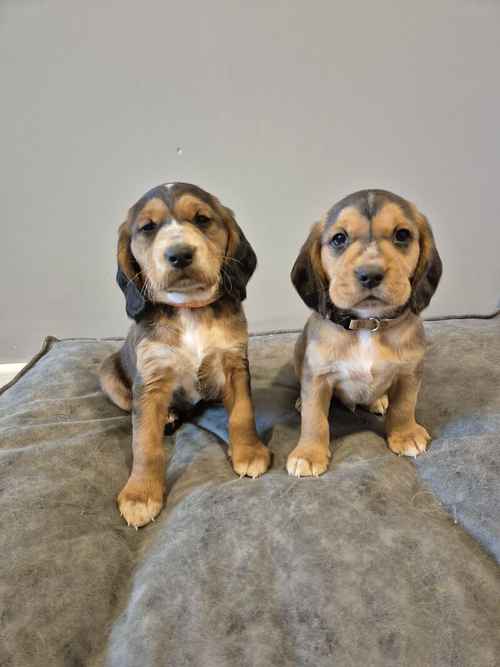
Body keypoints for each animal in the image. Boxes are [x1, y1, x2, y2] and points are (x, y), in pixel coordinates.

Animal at [100, 183, 270, 528]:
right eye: (147, 228)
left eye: (202, 219)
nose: (179, 254)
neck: (189, 309)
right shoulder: (150, 381)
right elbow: (144, 442)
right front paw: (140, 494)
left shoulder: (234, 364)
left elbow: (243, 413)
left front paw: (248, 452)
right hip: (107, 375)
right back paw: (168, 416)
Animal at [288, 190, 444, 478]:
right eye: (339, 238)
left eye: (402, 234)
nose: (370, 275)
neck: (367, 324)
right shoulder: (317, 377)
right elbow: (315, 419)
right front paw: (308, 454)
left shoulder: (409, 372)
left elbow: (404, 406)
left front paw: (405, 435)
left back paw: (378, 400)